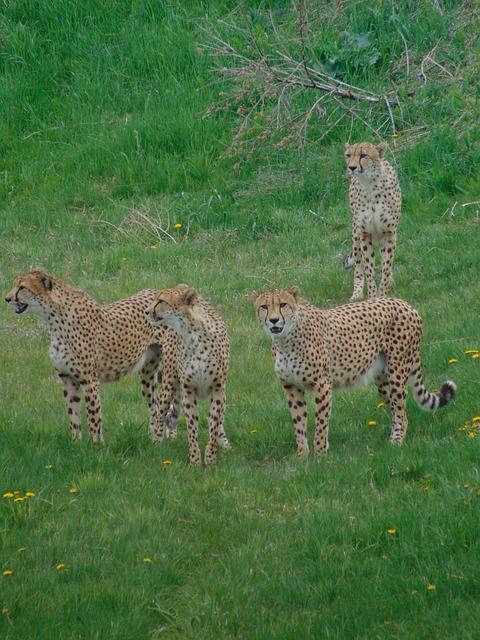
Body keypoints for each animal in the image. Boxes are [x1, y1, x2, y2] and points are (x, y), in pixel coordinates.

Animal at [5, 268, 174, 442]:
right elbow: (73, 415)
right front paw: (76, 443)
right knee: (156, 407)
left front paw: (96, 445)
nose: (7, 298)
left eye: (22, 287)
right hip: (148, 373)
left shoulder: (90, 380)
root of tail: (158, 290)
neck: (53, 318)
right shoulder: (66, 377)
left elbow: (93, 417)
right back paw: (154, 438)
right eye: (15, 285)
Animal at [145, 284, 230, 464]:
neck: (193, 333)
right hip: (169, 383)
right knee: (160, 414)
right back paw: (157, 442)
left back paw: (225, 444)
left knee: (219, 422)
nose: (147, 311)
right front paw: (195, 461)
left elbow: (213, 425)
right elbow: (192, 427)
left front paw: (210, 460)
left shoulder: (218, 389)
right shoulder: (189, 390)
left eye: (161, 301)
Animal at [253, 284, 456, 456]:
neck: (284, 340)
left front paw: (319, 455)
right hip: (382, 380)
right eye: (264, 307)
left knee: (400, 410)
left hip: (397, 371)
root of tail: (405, 304)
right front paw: (302, 456)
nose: (273, 320)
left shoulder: (322, 384)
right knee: (399, 409)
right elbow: (299, 423)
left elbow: (320, 423)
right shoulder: (291, 387)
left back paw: (396, 443)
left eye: (283, 304)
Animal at [344, 141, 404, 302]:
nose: (352, 167)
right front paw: (372, 296)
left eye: (363, 155)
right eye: (348, 155)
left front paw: (382, 294)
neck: (369, 184)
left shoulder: (389, 233)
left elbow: (386, 266)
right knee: (358, 266)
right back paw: (357, 293)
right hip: (355, 234)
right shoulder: (364, 234)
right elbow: (368, 270)